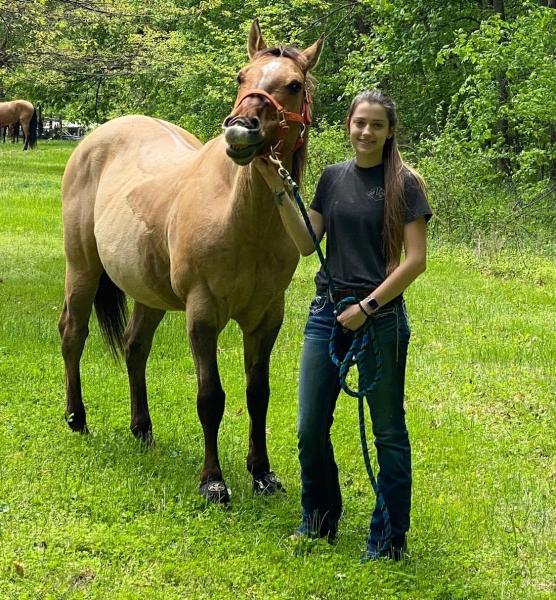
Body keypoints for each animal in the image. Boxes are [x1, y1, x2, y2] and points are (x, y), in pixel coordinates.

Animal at [58, 19, 324, 502]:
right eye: (241, 76)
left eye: (294, 85)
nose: (240, 130)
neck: (242, 218)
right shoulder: (202, 314)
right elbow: (210, 397)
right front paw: (213, 481)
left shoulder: (266, 318)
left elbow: (258, 394)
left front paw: (262, 473)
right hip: (82, 269)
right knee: (73, 333)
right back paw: (77, 418)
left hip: (148, 292)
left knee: (135, 346)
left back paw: (142, 429)